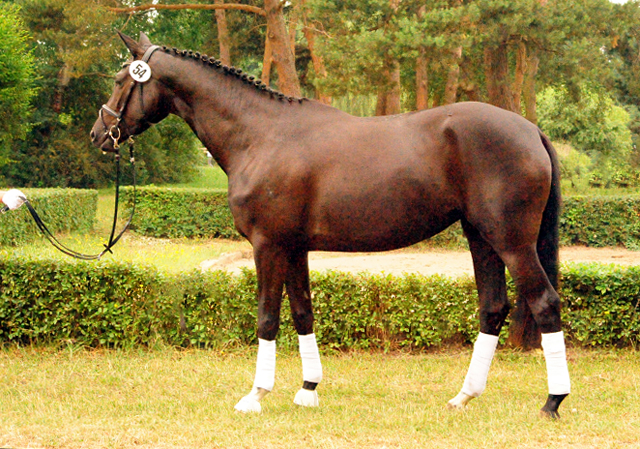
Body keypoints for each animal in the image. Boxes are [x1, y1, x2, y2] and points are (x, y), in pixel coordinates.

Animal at [90, 33, 568, 418]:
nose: (99, 134)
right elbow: (302, 312)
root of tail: (531, 130)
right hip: (480, 236)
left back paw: (553, 401)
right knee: (493, 307)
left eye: (120, 78)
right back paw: (464, 396)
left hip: (511, 241)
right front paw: (308, 390)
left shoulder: (267, 245)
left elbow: (267, 317)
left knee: (544, 302)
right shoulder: (294, 247)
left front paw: (256, 395)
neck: (259, 135)